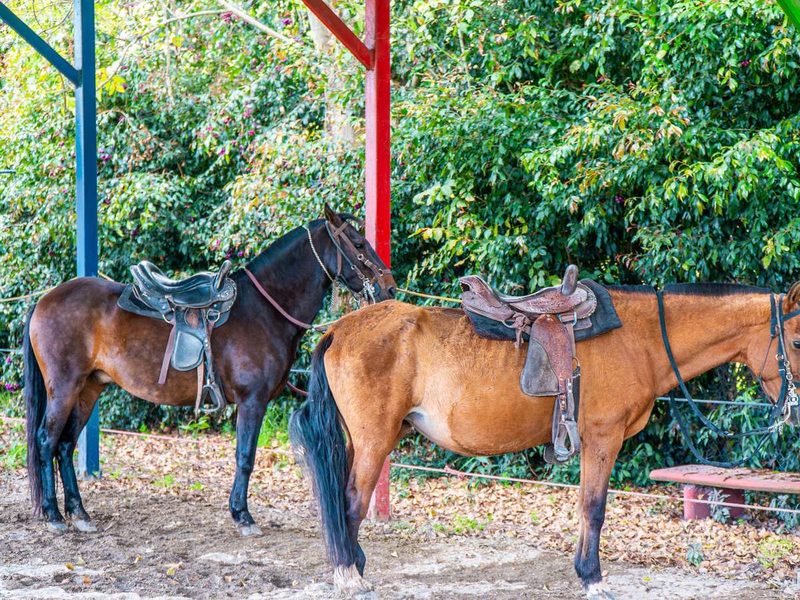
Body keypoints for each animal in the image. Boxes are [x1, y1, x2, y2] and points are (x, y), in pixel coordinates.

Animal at [23, 206, 396, 536]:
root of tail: (44, 299)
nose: (389, 287)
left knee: (65, 445)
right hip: (65, 388)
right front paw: (242, 516)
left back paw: (79, 514)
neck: (264, 310)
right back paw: (54, 515)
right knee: (46, 440)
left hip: (88, 388)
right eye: (358, 244)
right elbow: (245, 456)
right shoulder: (252, 402)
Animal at [290, 282, 800, 598]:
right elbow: (593, 508)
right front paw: (593, 579)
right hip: (374, 440)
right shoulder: (602, 438)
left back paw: (353, 565)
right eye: (796, 341)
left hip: (369, 439)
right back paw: (349, 577)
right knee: (350, 503)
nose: (796, 406)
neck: (641, 337)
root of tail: (338, 329)